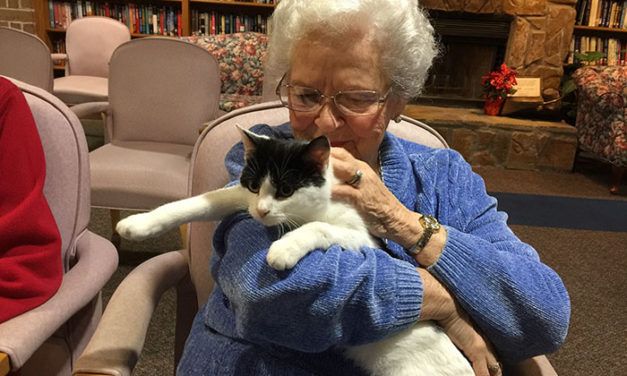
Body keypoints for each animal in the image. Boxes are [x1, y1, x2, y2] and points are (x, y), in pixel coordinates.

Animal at [115, 127, 474, 376]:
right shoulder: (240, 199)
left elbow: (317, 228)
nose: (261, 211)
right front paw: (139, 223)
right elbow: (201, 201)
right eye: (253, 184)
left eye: (286, 189)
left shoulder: (363, 237)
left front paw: (283, 249)